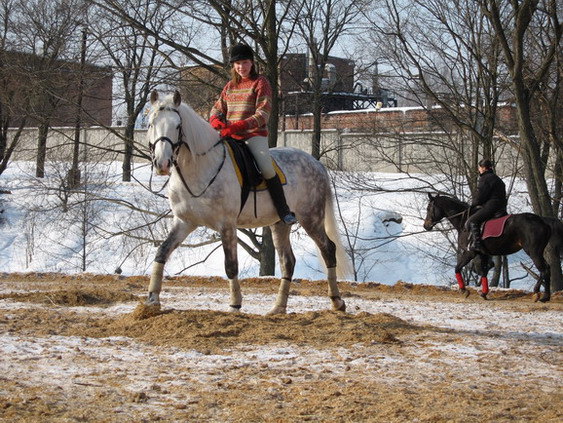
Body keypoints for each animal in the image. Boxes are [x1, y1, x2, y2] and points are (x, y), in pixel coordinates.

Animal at [144, 90, 352, 314]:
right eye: (151, 123)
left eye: (177, 126)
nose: (162, 164)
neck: (199, 169)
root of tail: (317, 164)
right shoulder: (184, 222)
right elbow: (161, 252)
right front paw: (152, 299)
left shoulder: (226, 225)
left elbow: (230, 265)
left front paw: (235, 304)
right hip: (280, 224)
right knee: (288, 261)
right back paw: (278, 308)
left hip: (311, 218)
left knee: (328, 250)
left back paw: (337, 301)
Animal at [424, 194, 552, 304]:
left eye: (428, 208)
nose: (426, 226)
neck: (463, 221)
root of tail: (543, 222)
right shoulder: (483, 254)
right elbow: (484, 271)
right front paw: (484, 293)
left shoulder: (470, 253)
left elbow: (458, 268)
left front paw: (464, 290)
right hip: (538, 252)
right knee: (547, 269)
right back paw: (545, 296)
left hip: (533, 252)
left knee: (544, 269)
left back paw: (538, 294)